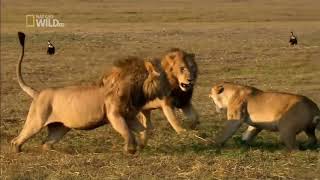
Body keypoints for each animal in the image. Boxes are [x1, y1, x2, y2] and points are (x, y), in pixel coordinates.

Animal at [11, 32, 171, 153]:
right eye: (164, 77)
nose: (170, 89)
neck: (134, 89)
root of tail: (38, 93)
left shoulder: (129, 116)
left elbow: (143, 130)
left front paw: (141, 145)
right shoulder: (114, 115)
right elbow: (127, 132)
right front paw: (130, 149)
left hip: (61, 127)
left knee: (46, 143)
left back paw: (57, 152)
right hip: (36, 121)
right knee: (17, 139)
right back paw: (17, 150)